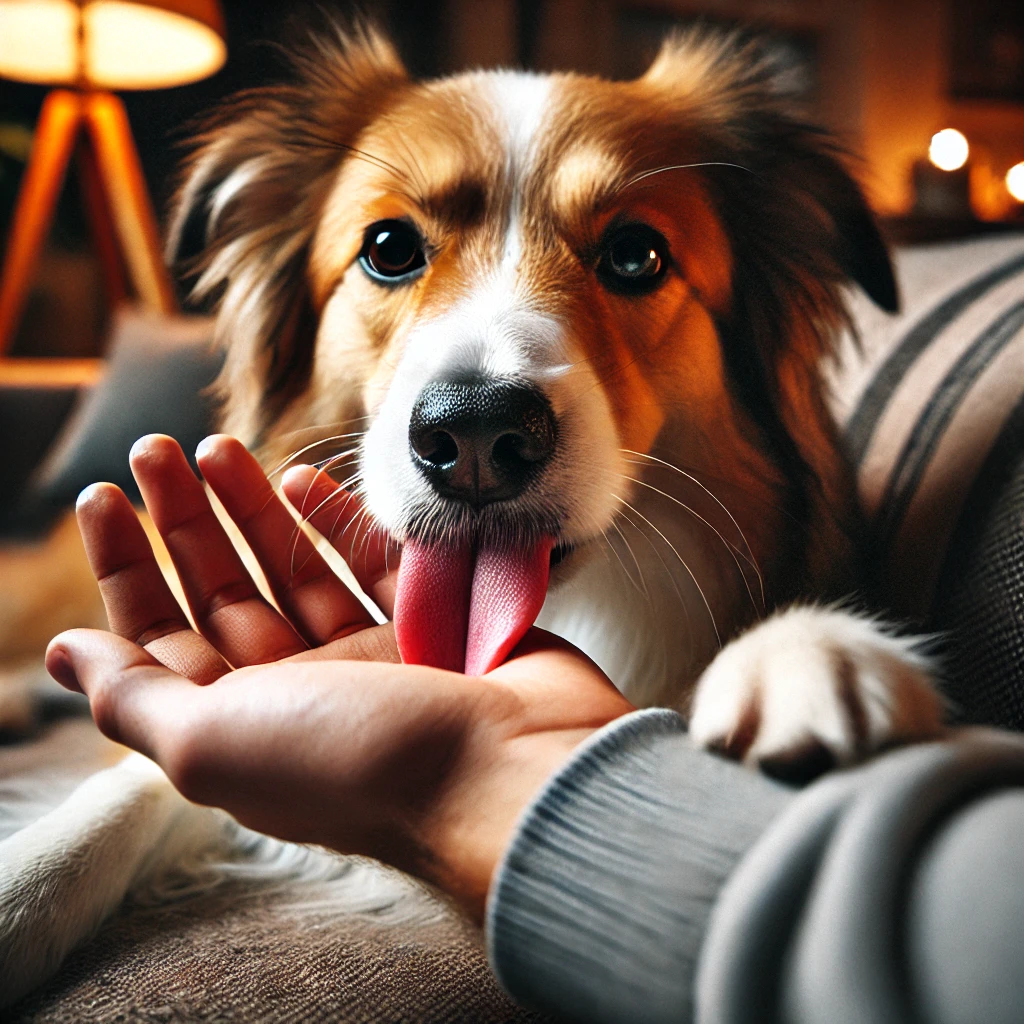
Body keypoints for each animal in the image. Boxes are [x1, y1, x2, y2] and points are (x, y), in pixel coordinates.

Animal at [0, 22, 942, 999]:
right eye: (388, 248)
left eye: (636, 255)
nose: (479, 433)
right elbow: (128, 785)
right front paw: (23, 883)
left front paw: (803, 658)